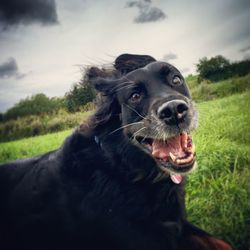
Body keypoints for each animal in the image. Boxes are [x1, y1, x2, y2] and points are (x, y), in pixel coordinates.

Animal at [0, 54, 231, 250]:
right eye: (135, 96)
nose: (174, 111)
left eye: (176, 80)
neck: (123, 168)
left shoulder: (177, 224)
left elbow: (223, 243)